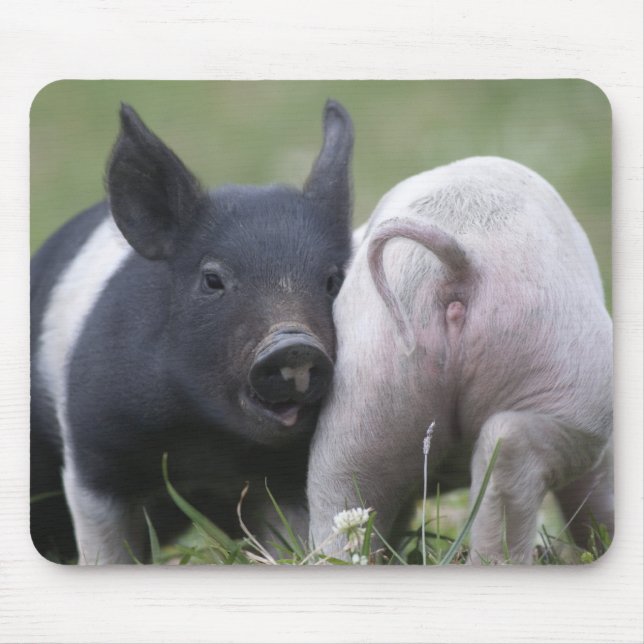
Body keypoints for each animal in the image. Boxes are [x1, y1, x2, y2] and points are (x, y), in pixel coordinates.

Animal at [31, 100, 353, 564]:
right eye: (212, 279)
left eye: (332, 280)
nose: (294, 345)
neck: (204, 444)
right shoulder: (92, 450)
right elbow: (105, 544)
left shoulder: (288, 476)